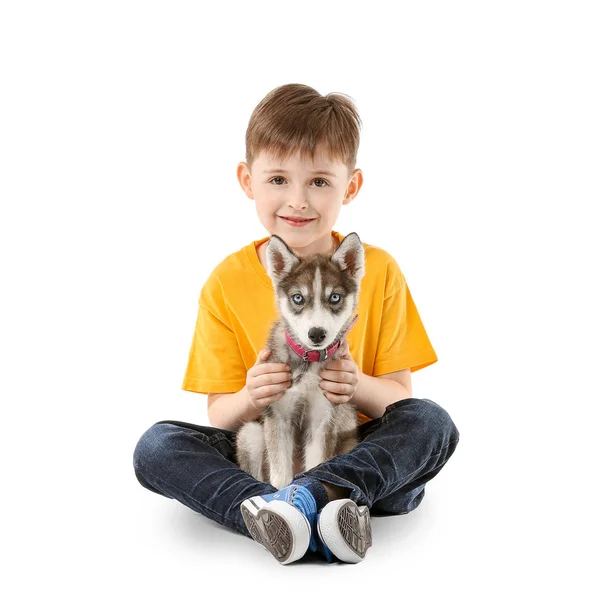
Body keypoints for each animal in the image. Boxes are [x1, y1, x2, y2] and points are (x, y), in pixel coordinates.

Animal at [236, 232, 366, 490]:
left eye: (334, 297)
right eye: (298, 298)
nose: (316, 334)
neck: (309, 360)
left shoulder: (322, 418)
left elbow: (316, 467)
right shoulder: (278, 417)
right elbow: (279, 477)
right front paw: (280, 495)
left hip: (349, 441)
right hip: (251, 434)